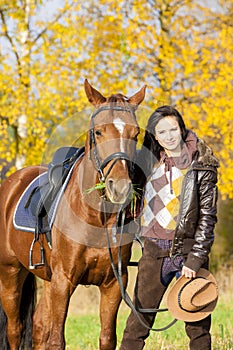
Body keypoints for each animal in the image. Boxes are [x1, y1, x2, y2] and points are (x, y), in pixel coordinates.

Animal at [0, 79, 146, 350]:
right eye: (98, 132)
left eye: (135, 134)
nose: (119, 188)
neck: (95, 218)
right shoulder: (63, 282)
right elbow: (57, 339)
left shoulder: (113, 284)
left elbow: (107, 338)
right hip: (11, 274)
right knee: (15, 330)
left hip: (45, 278)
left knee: (38, 327)